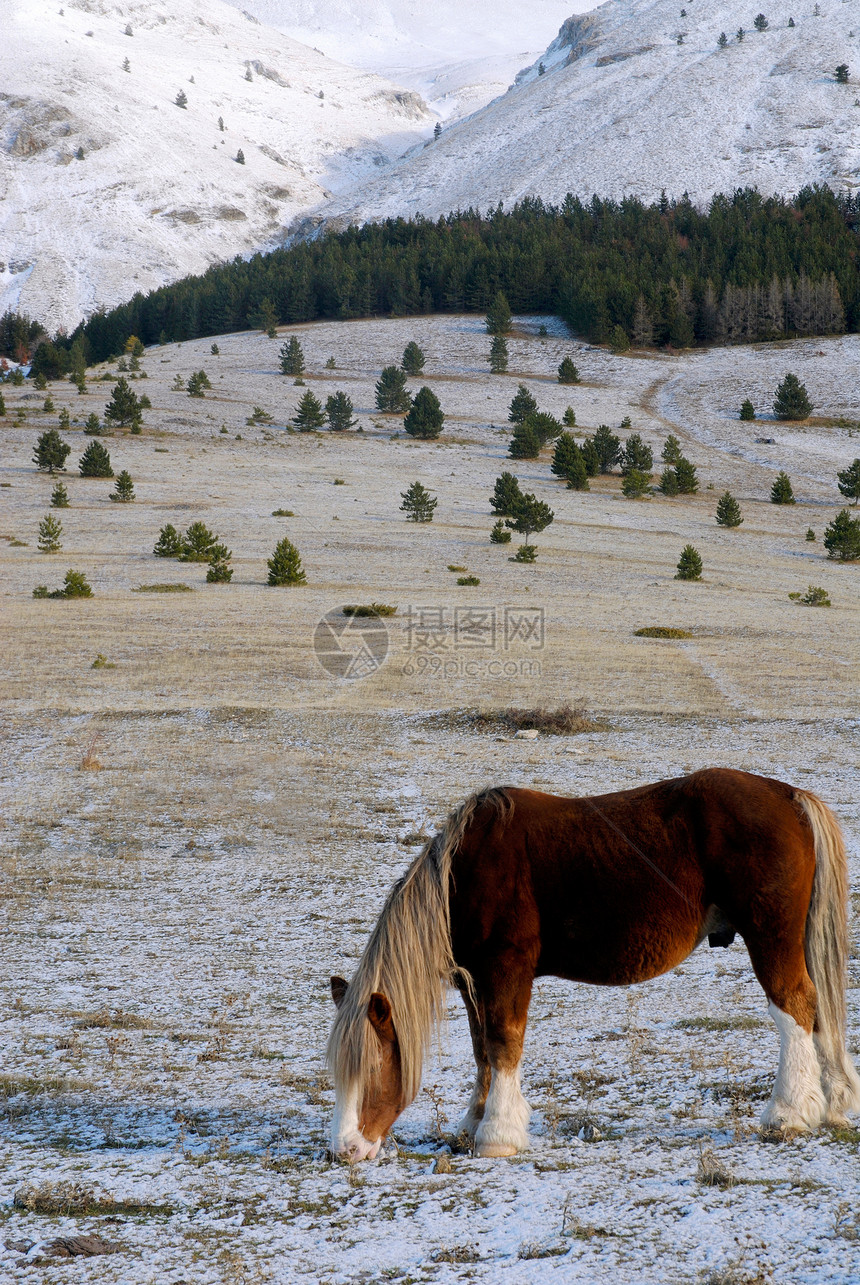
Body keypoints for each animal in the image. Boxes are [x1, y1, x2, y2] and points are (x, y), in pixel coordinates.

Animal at [326, 765, 858, 1161]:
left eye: (372, 1065)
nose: (345, 1150)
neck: (464, 874)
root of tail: (791, 797)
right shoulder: (476, 981)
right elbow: (481, 1050)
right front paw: (473, 1123)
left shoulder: (506, 971)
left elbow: (503, 1044)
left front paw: (497, 1134)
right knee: (817, 1011)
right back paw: (834, 1104)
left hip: (771, 938)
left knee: (794, 1008)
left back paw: (788, 1115)